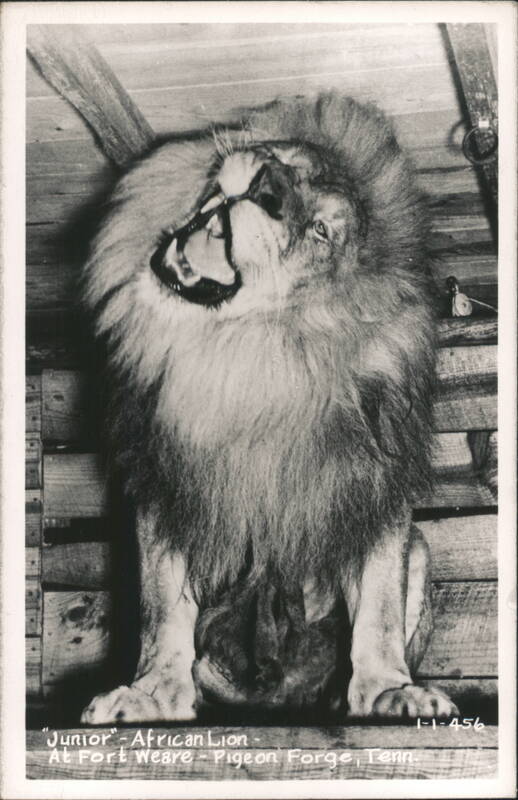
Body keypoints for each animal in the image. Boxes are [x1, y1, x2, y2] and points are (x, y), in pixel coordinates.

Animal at [80, 94, 458, 723]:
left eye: (323, 230)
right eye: (285, 161)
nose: (268, 188)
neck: (248, 357)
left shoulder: (370, 486)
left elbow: (379, 607)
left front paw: (388, 689)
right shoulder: (169, 484)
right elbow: (163, 609)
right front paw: (151, 692)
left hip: (422, 548)